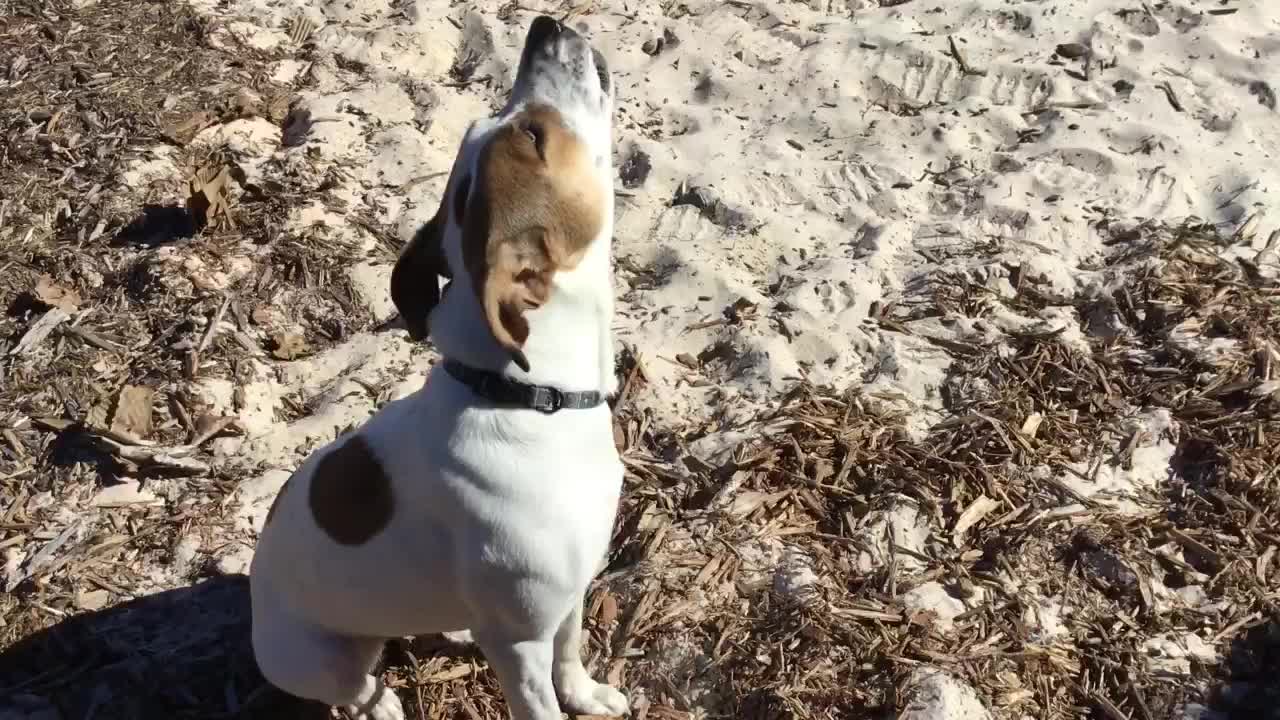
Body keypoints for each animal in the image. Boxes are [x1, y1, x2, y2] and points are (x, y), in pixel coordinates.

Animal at [248, 15, 624, 717]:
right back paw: (380, 701)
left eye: (516, 128)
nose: (544, 25)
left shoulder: (572, 592)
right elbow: (541, 695)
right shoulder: (518, 646)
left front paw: (586, 694)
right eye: (533, 135)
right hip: (321, 658)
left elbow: (572, 649)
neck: (528, 397)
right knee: (358, 684)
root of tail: (255, 598)